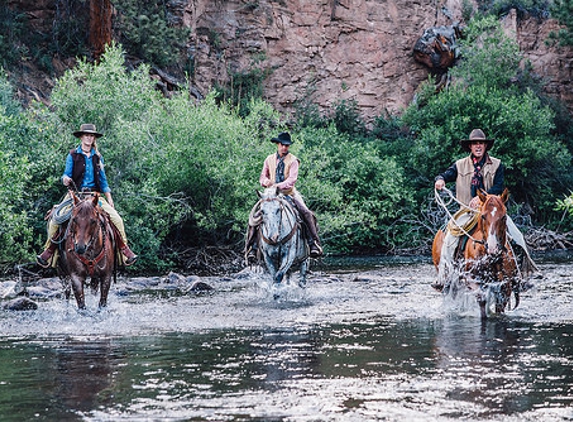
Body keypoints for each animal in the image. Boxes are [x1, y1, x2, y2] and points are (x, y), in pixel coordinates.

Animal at [434, 190, 520, 318]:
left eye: (504, 216)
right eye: (483, 216)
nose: (493, 247)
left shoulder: (505, 288)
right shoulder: (471, 280)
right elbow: (482, 301)